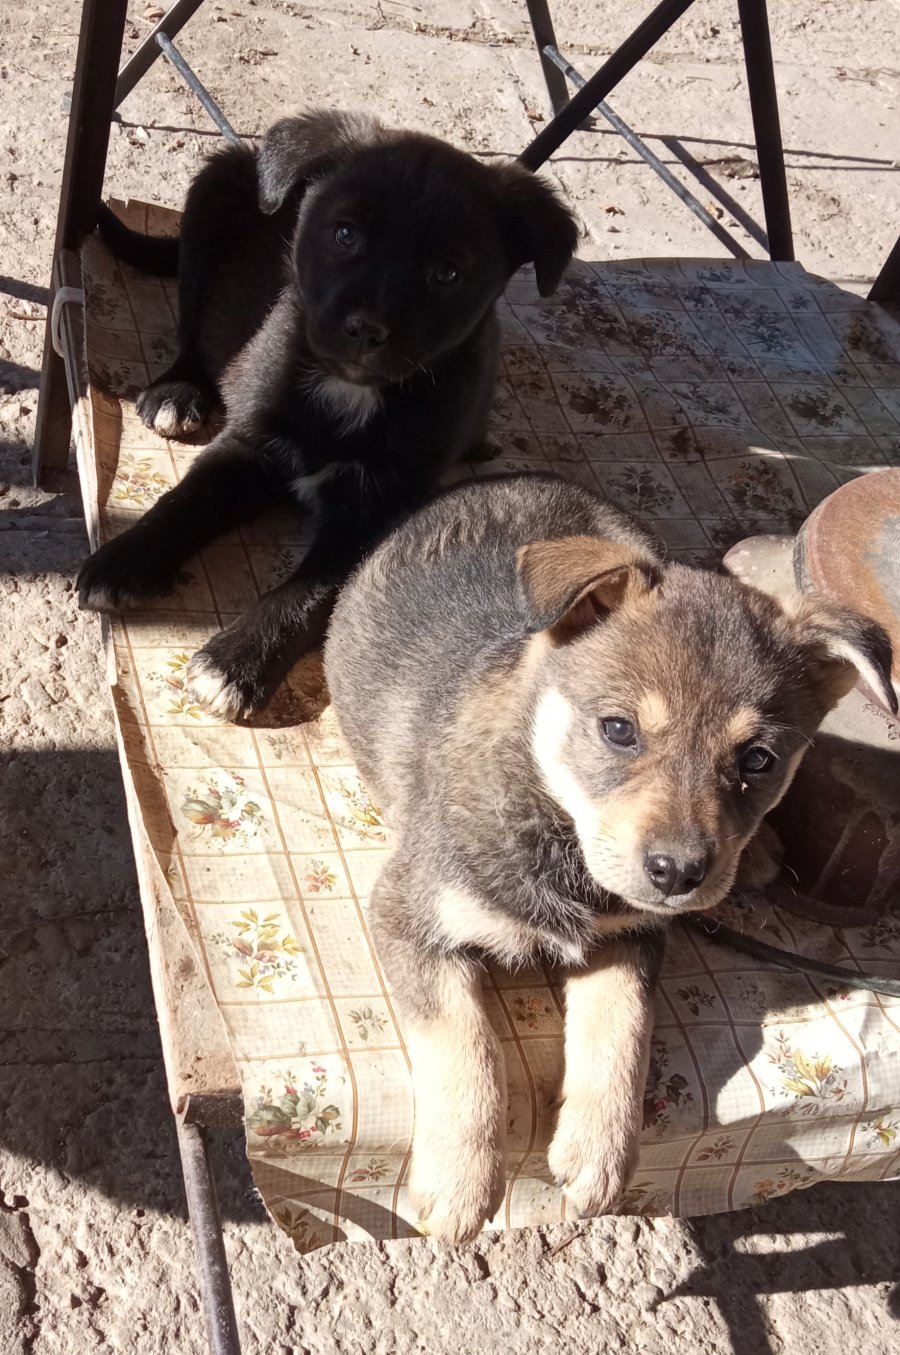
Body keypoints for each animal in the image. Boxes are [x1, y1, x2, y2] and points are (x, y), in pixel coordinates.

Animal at [80, 111, 580, 720]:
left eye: (448, 274)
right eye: (344, 234)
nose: (365, 329)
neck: (350, 392)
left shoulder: (380, 509)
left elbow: (316, 587)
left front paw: (237, 661)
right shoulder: (249, 445)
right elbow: (185, 500)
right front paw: (124, 558)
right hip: (211, 197)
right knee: (193, 329)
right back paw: (179, 391)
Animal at [323, 474, 894, 1241]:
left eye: (759, 760)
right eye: (619, 729)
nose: (678, 874)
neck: (559, 830)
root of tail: (506, 480)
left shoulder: (633, 937)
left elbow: (623, 1029)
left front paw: (598, 1152)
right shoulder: (409, 914)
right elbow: (466, 1042)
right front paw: (461, 1181)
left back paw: (763, 854)